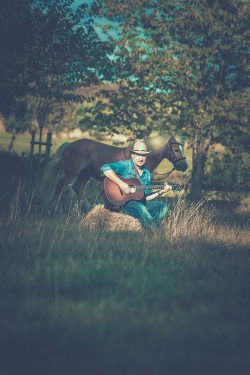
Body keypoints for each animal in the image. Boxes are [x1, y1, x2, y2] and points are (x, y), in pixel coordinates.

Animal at [38, 137, 188, 210]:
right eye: (176, 149)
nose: (185, 166)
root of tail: (69, 145)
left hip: (85, 175)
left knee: (77, 188)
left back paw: (87, 209)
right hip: (71, 172)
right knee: (60, 186)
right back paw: (53, 207)